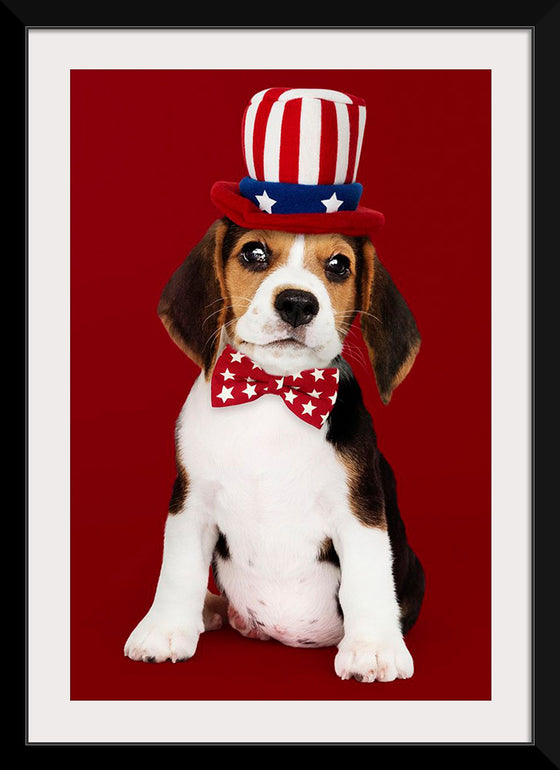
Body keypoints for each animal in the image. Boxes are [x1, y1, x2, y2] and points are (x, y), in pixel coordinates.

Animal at [124, 214, 424, 680]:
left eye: (339, 264)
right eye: (253, 253)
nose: (297, 303)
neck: (273, 391)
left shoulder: (359, 508)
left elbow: (368, 576)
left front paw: (373, 648)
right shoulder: (190, 501)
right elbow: (177, 569)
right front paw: (165, 629)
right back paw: (208, 609)